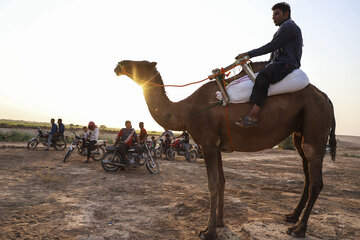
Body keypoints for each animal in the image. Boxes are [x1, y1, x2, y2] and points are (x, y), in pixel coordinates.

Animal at [114, 59, 336, 238]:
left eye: (141, 64)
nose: (119, 65)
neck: (186, 110)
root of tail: (326, 98)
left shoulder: (207, 143)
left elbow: (212, 184)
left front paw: (208, 231)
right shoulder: (217, 145)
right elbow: (221, 181)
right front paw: (220, 222)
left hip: (315, 125)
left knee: (316, 180)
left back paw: (298, 229)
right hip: (299, 133)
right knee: (307, 175)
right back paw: (291, 217)